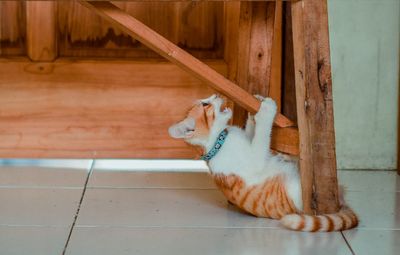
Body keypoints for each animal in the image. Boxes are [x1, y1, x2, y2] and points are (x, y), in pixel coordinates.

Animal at [170, 94, 360, 232]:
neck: (218, 142)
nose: (216, 94)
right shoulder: (255, 159)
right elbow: (262, 135)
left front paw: (254, 111)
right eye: (205, 104)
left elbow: (252, 132)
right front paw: (266, 110)